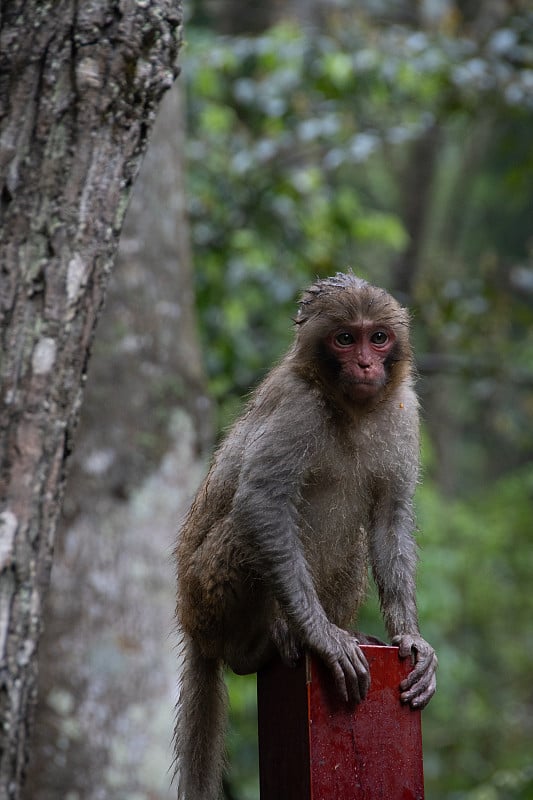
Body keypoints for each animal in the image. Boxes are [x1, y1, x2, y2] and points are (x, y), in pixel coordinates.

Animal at [174, 270, 436, 800]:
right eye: (345, 339)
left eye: (378, 337)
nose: (364, 364)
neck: (348, 407)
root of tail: (192, 629)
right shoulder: (296, 405)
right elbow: (261, 503)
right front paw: (320, 635)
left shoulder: (403, 410)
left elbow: (390, 517)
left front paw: (412, 639)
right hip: (206, 599)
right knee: (243, 530)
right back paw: (260, 644)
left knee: (353, 545)